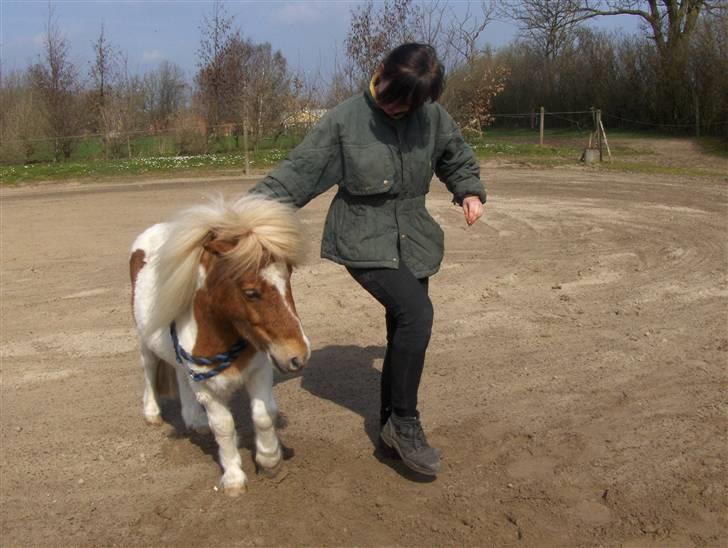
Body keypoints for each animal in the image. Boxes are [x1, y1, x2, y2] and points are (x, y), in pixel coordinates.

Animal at [130, 195, 310, 494]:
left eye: (289, 276)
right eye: (251, 292)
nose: (298, 355)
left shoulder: (259, 369)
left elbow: (264, 414)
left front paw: (270, 461)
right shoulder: (207, 388)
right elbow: (224, 426)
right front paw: (234, 478)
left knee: (180, 374)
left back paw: (195, 420)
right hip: (145, 341)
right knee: (149, 369)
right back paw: (152, 413)